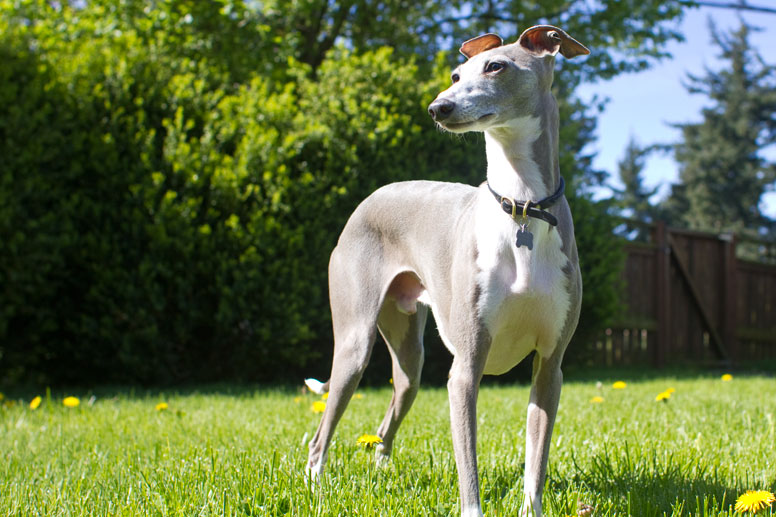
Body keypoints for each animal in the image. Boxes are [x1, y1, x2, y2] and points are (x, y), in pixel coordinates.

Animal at [306, 25, 584, 516]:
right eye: (456, 74)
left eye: (496, 66)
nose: (439, 108)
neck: (522, 208)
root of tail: (369, 199)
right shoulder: (466, 370)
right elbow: (468, 471)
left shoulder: (550, 367)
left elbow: (535, 465)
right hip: (355, 343)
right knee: (320, 436)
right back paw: (316, 488)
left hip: (409, 359)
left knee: (386, 423)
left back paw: (381, 473)